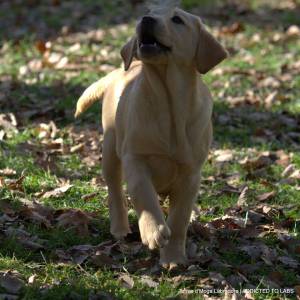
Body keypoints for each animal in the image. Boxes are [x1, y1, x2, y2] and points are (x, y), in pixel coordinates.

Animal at [75, 4, 227, 268]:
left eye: (177, 19)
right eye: (149, 11)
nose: (145, 19)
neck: (168, 103)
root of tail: (120, 72)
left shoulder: (190, 174)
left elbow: (179, 219)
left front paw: (173, 256)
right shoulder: (135, 157)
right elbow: (142, 193)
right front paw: (153, 231)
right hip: (111, 148)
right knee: (115, 190)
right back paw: (120, 228)